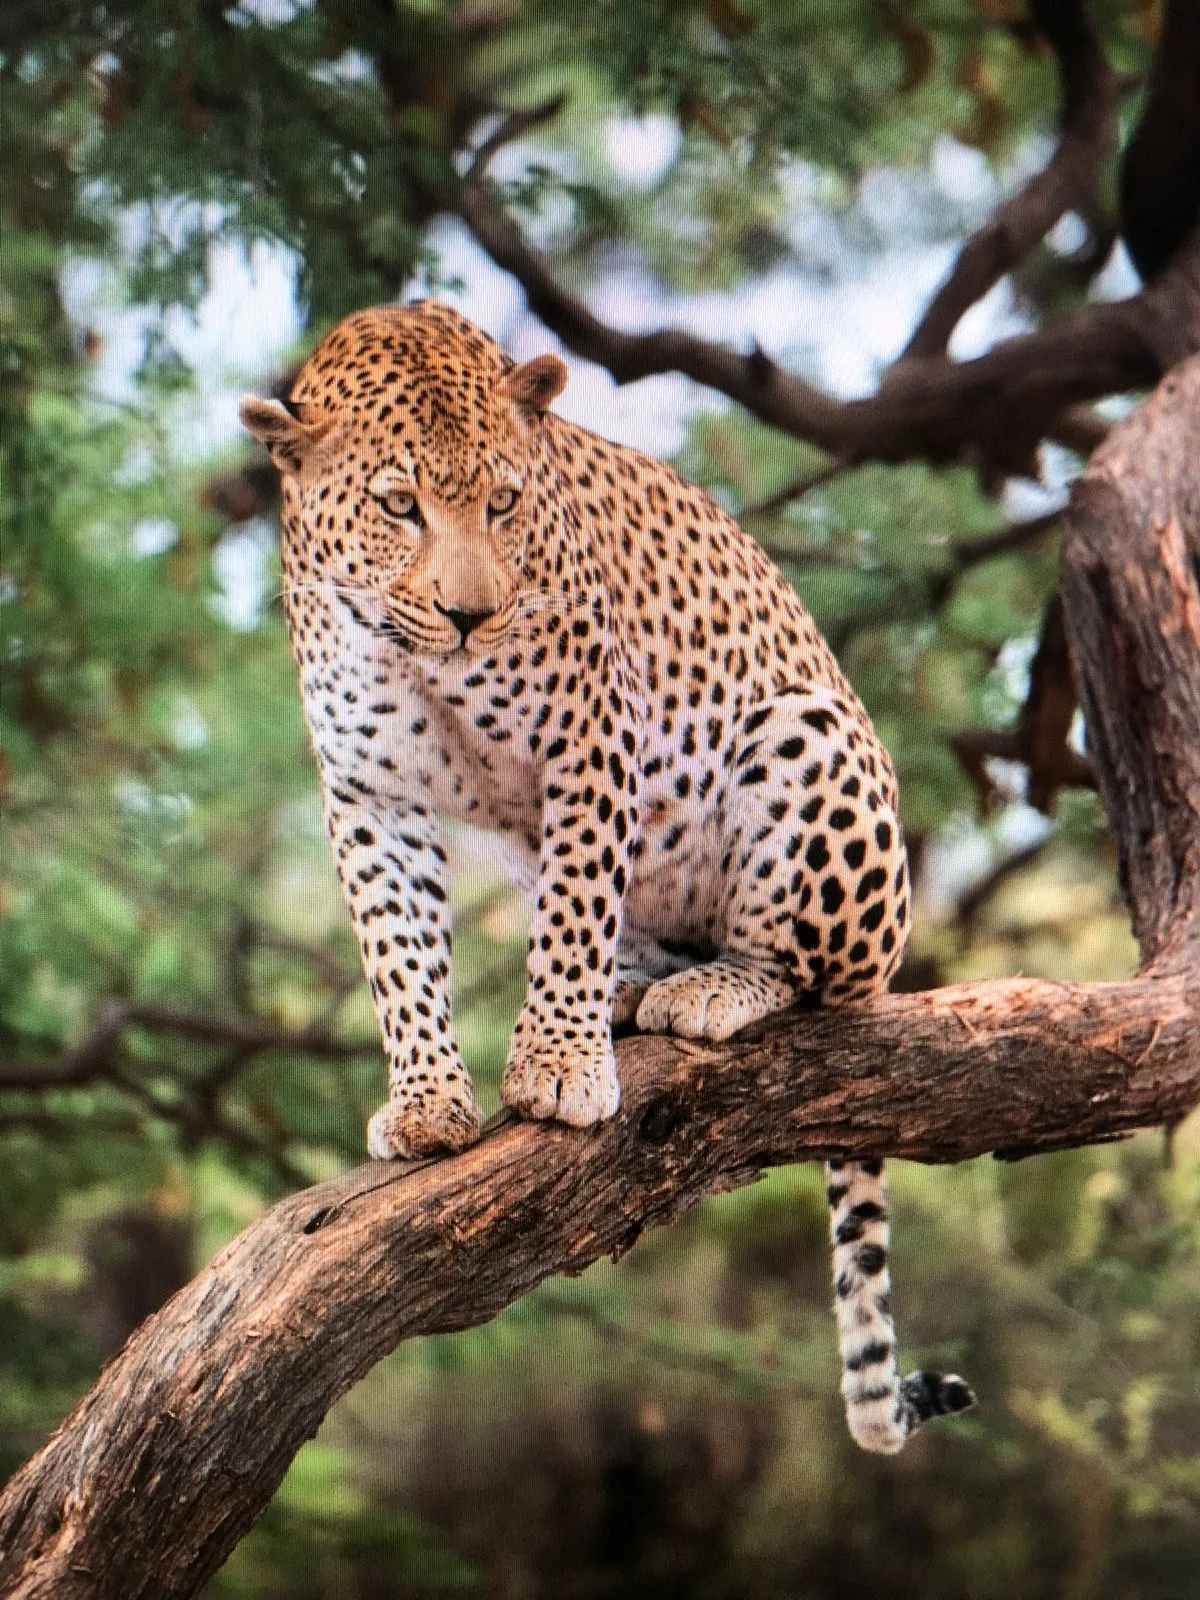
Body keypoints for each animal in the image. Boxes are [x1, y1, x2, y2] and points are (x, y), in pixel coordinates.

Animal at [240, 300, 974, 1455]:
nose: (470, 615)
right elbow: (399, 954)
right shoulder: (368, 791)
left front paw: (554, 1069)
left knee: (814, 979)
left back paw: (707, 990)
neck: (412, 651)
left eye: (502, 502)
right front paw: (427, 1105)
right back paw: (631, 990)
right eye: (399, 505)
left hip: (805, 736)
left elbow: (576, 905)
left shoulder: (590, 737)